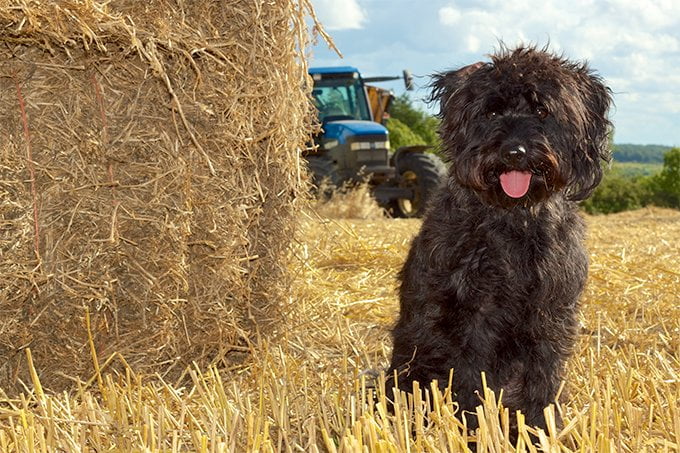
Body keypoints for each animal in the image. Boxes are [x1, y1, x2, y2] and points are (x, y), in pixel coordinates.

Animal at [386, 46, 612, 434]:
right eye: (491, 110)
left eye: (542, 110)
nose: (513, 152)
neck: (514, 217)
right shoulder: (472, 318)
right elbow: (470, 383)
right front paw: (476, 432)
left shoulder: (549, 315)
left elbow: (542, 381)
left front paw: (542, 430)